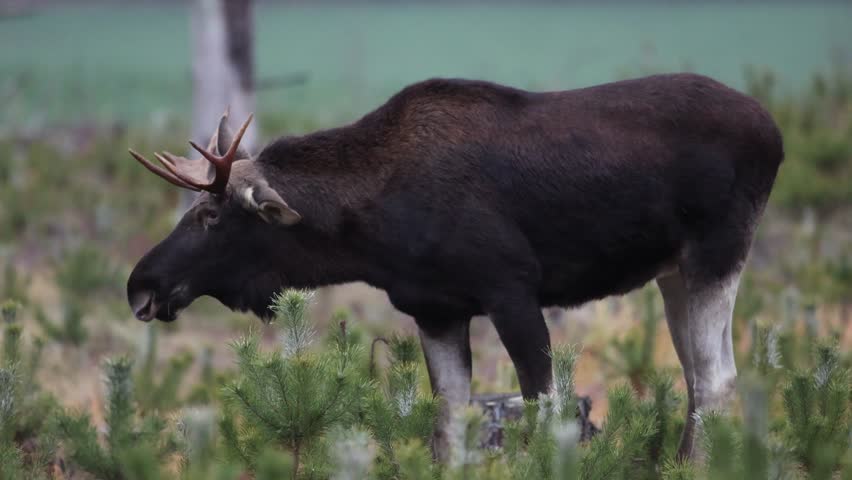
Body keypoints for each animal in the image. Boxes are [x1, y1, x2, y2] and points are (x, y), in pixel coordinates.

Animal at [126, 73, 784, 461]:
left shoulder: (512, 290)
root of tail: (775, 133)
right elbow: (449, 428)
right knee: (698, 379)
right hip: (674, 274)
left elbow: (545, 411)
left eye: (211, 216)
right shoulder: (435, 309)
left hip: (717, 254)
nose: (140, 285)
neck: (372, 231)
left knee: (719, 379)